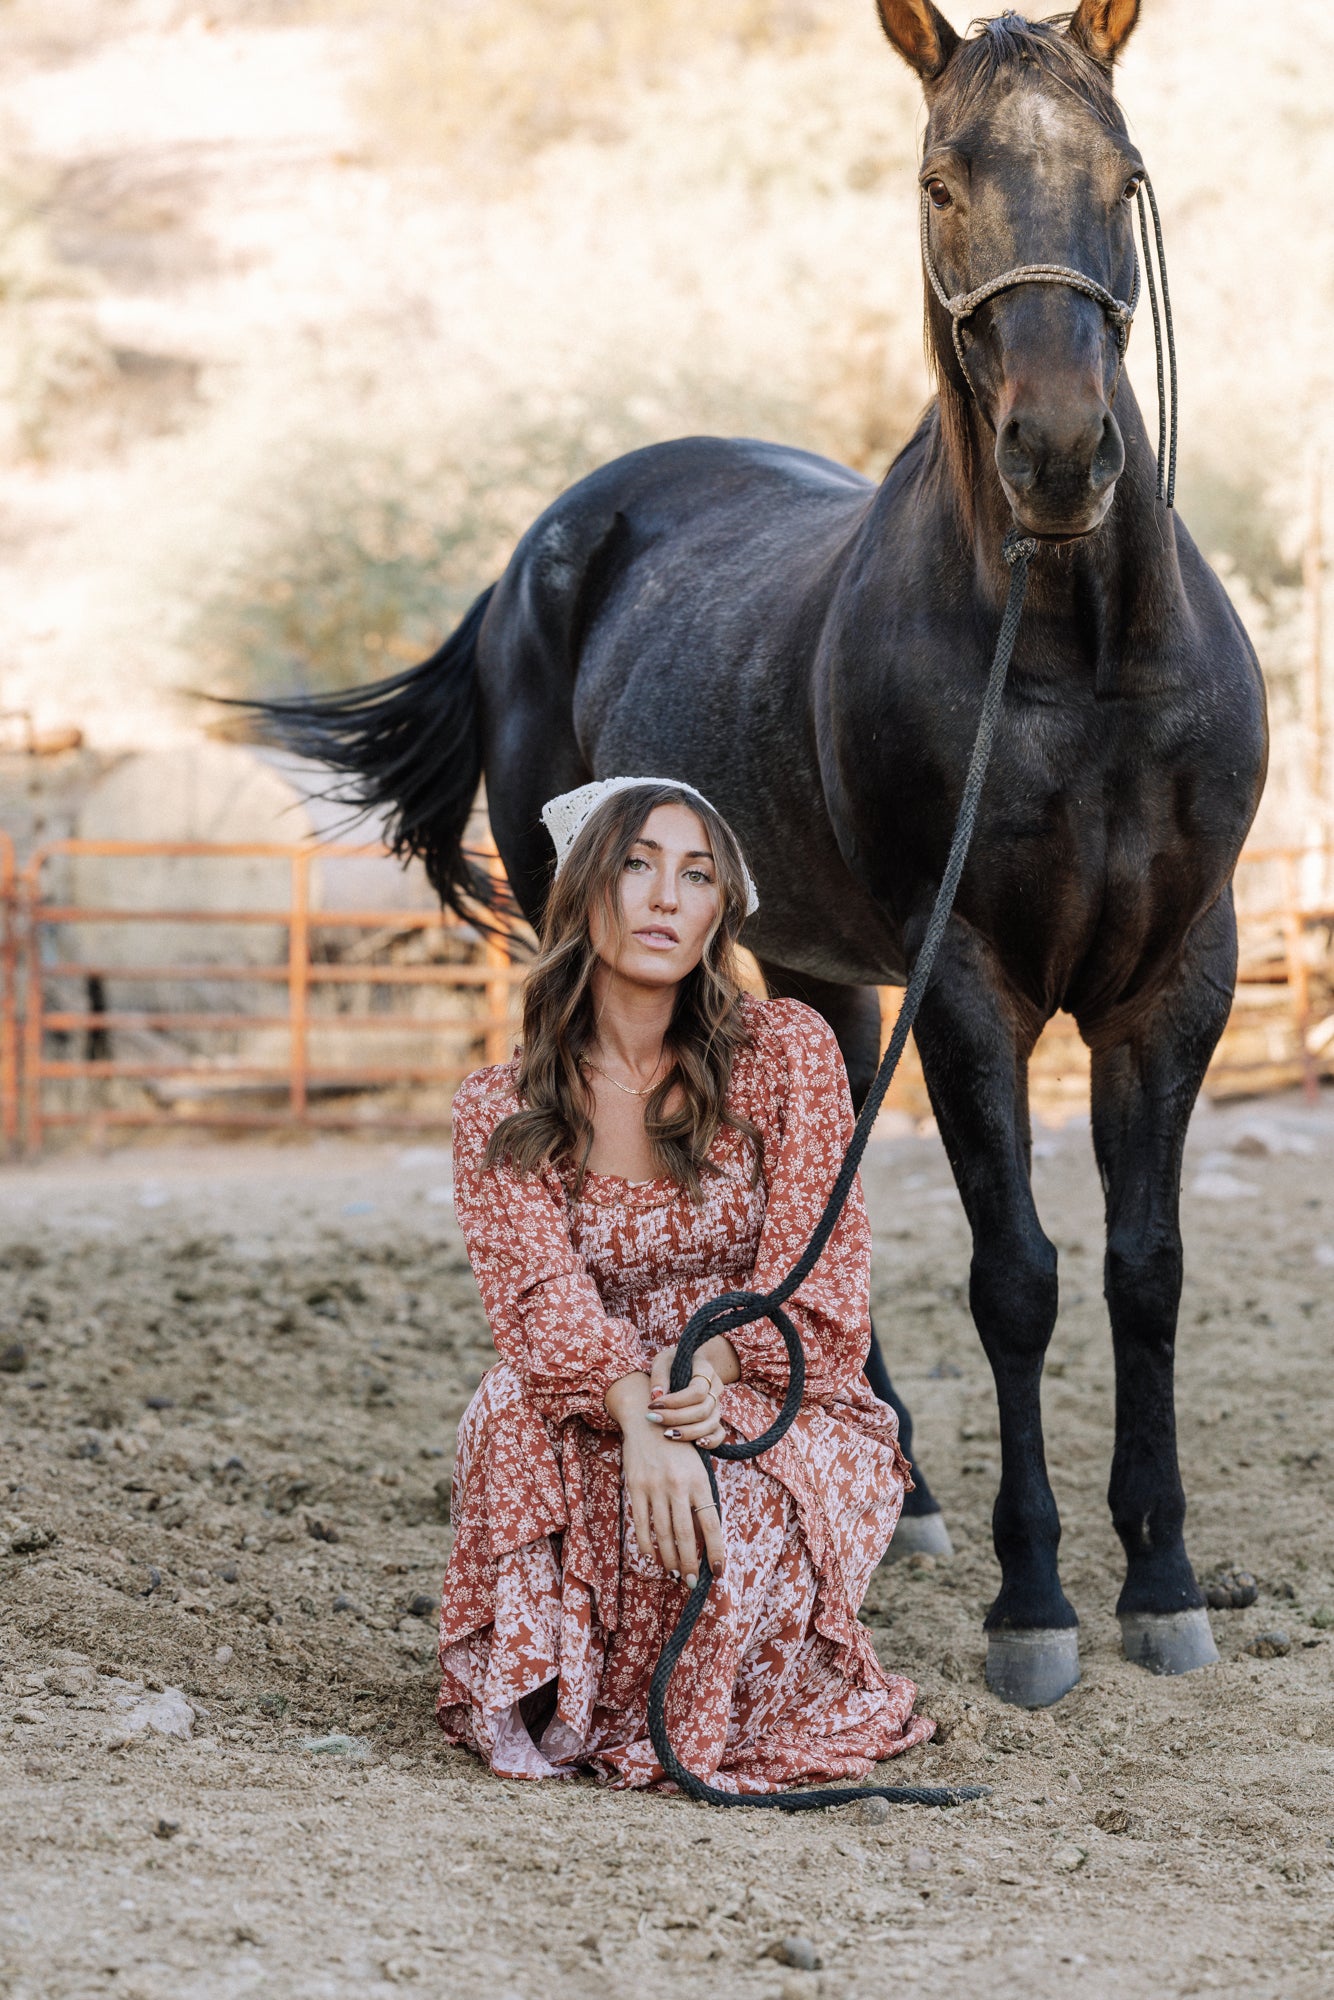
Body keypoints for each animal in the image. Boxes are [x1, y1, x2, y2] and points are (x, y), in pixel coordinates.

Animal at [256, 3, 1272, 1720]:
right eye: (938, 181)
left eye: (1122, 175)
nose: (1061, 455)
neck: (1074, 654)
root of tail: (551, 540)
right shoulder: (973, 986)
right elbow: (1016, 1277)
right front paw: (1035, 1604)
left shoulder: (1174, 979)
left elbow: (1143, 1271)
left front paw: (1164, 1580)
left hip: (822, 966)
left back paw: (901, 1492)